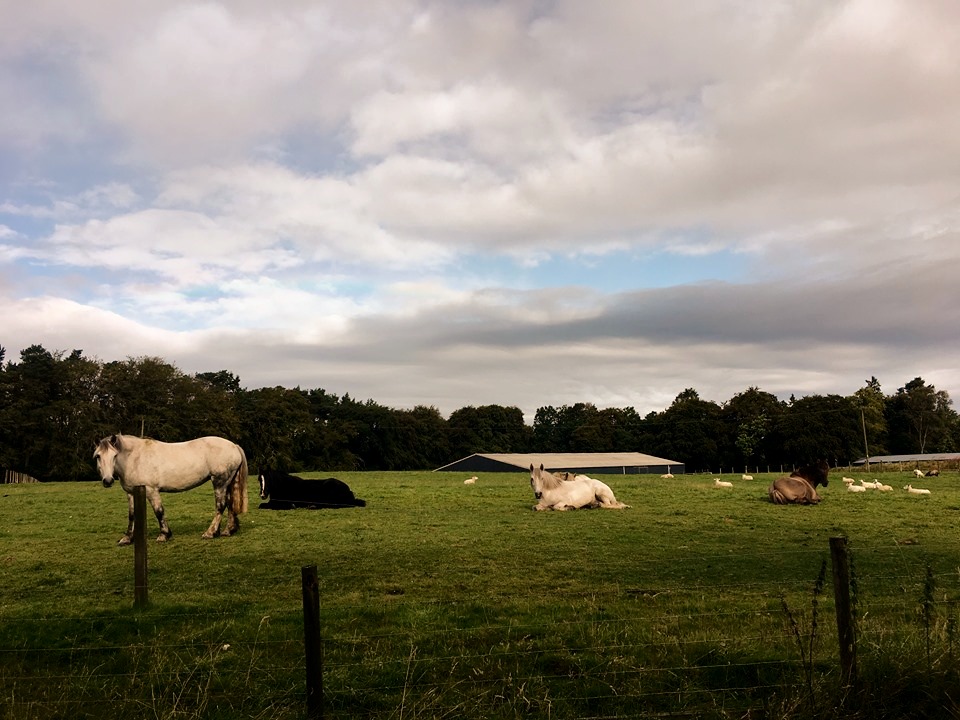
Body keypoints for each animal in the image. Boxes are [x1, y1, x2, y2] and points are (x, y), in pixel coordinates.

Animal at [94, 434, 248, 544]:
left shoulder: (151, 490)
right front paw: (127, 538)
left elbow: (159, 512)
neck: (135, 458)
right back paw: (228, 530)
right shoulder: (131, 493)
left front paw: (164, 535)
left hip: (219, 483)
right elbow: (132, 515)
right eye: (98, 456)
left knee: (220, 506)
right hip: (227, 483)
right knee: (230, 504)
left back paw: (210, 533)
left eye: (114, 455)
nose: (107, 481)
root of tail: (234, 446)